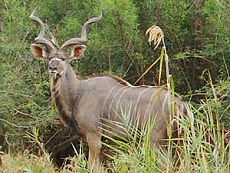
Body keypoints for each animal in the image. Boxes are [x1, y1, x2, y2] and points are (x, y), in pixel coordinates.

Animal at [29, 10, 188, 168]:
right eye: (49, 58)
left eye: (63, 59)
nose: (53, 68)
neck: (78, 93)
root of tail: (179, 104)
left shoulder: (93, 135)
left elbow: (92, 165)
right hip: (178, 139)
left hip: (154, 138)